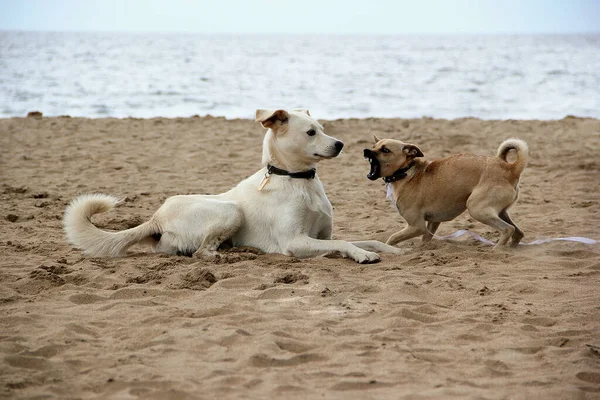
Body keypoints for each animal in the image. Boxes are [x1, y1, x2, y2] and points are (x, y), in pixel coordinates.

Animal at [63, 109, 400, 262]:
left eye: (323, 128)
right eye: (310, 132)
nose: (341, 144)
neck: (298, 181)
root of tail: (156, 216)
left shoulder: (322, 235)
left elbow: (368, 239)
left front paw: (388, 249)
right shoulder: (295, 242)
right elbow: (344, 243)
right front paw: (362, 255)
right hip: (229, 210)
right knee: (200, 251)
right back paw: (228, 255)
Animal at [364, 138, 528, 247]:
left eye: (385, 150)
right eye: (374, 146)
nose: (366, 150)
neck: (405, 171)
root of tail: (510, 169)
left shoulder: (417, 226)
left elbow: (392, 238)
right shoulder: (433, 222)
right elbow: (424, 240)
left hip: (477, 209)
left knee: (508, 229)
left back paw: (497, 249)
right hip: (499, 212)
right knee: (518, 232)